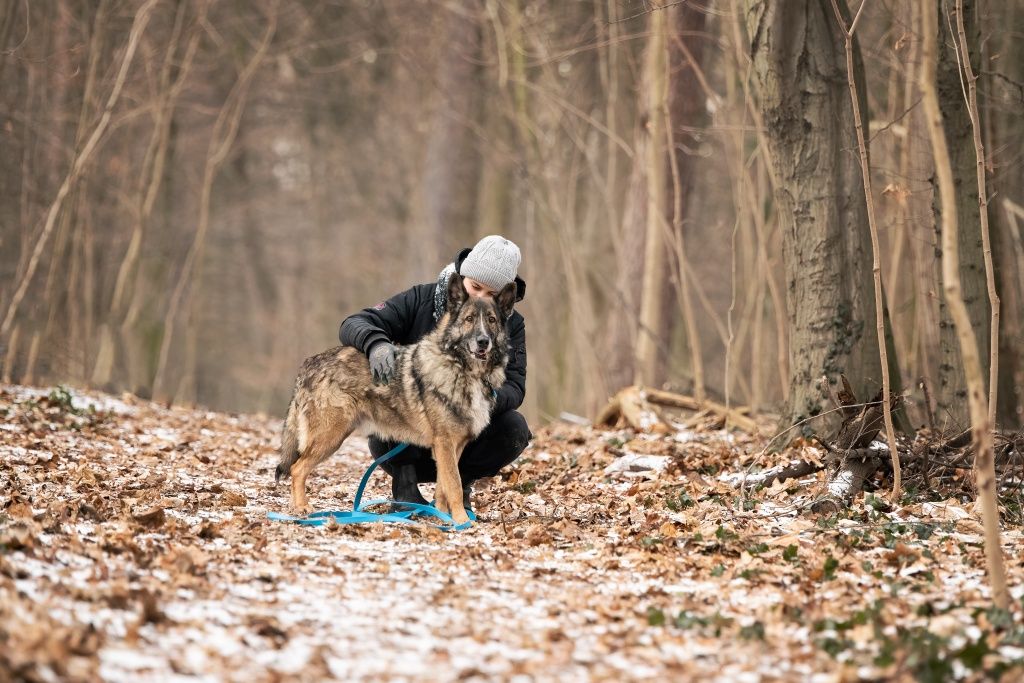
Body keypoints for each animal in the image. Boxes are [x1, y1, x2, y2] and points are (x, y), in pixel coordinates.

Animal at [274, 272, 516, 524]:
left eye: (491, 320)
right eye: (469, 319)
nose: (483, 341)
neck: (462, 368)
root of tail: (309, 364)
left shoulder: (451, 448)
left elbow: (444, 487)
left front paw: (441, 516)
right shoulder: (445, 444)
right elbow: (454, 486)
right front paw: (461, 522)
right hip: (330, 436)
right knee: (297, 468)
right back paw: (302, 508)